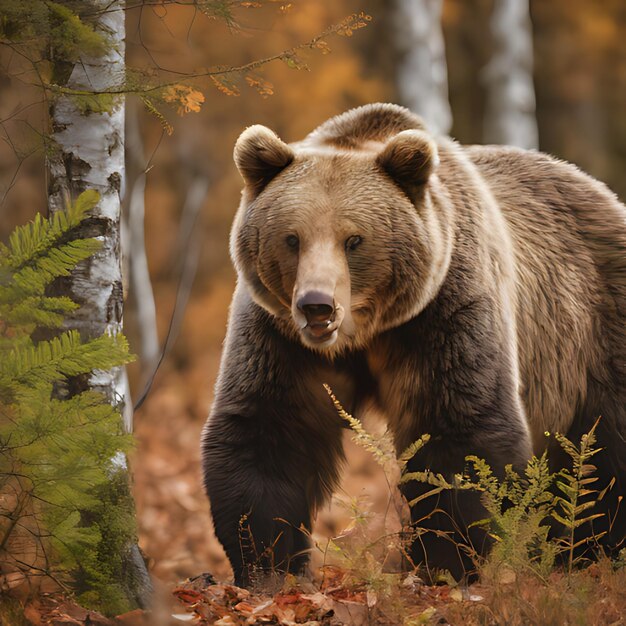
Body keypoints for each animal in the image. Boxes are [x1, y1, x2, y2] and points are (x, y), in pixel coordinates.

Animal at [201, 102, 624, 584]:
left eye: (354, 239)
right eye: (292, 238)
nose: (317, 307)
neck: (366, 332)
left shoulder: (445, 310)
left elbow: (459, 432)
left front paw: (445, 562)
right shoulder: (280, 335)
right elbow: (268, 430)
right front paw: (269, 564)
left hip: (591, 328)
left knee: (605, 455)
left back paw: (589, 552)